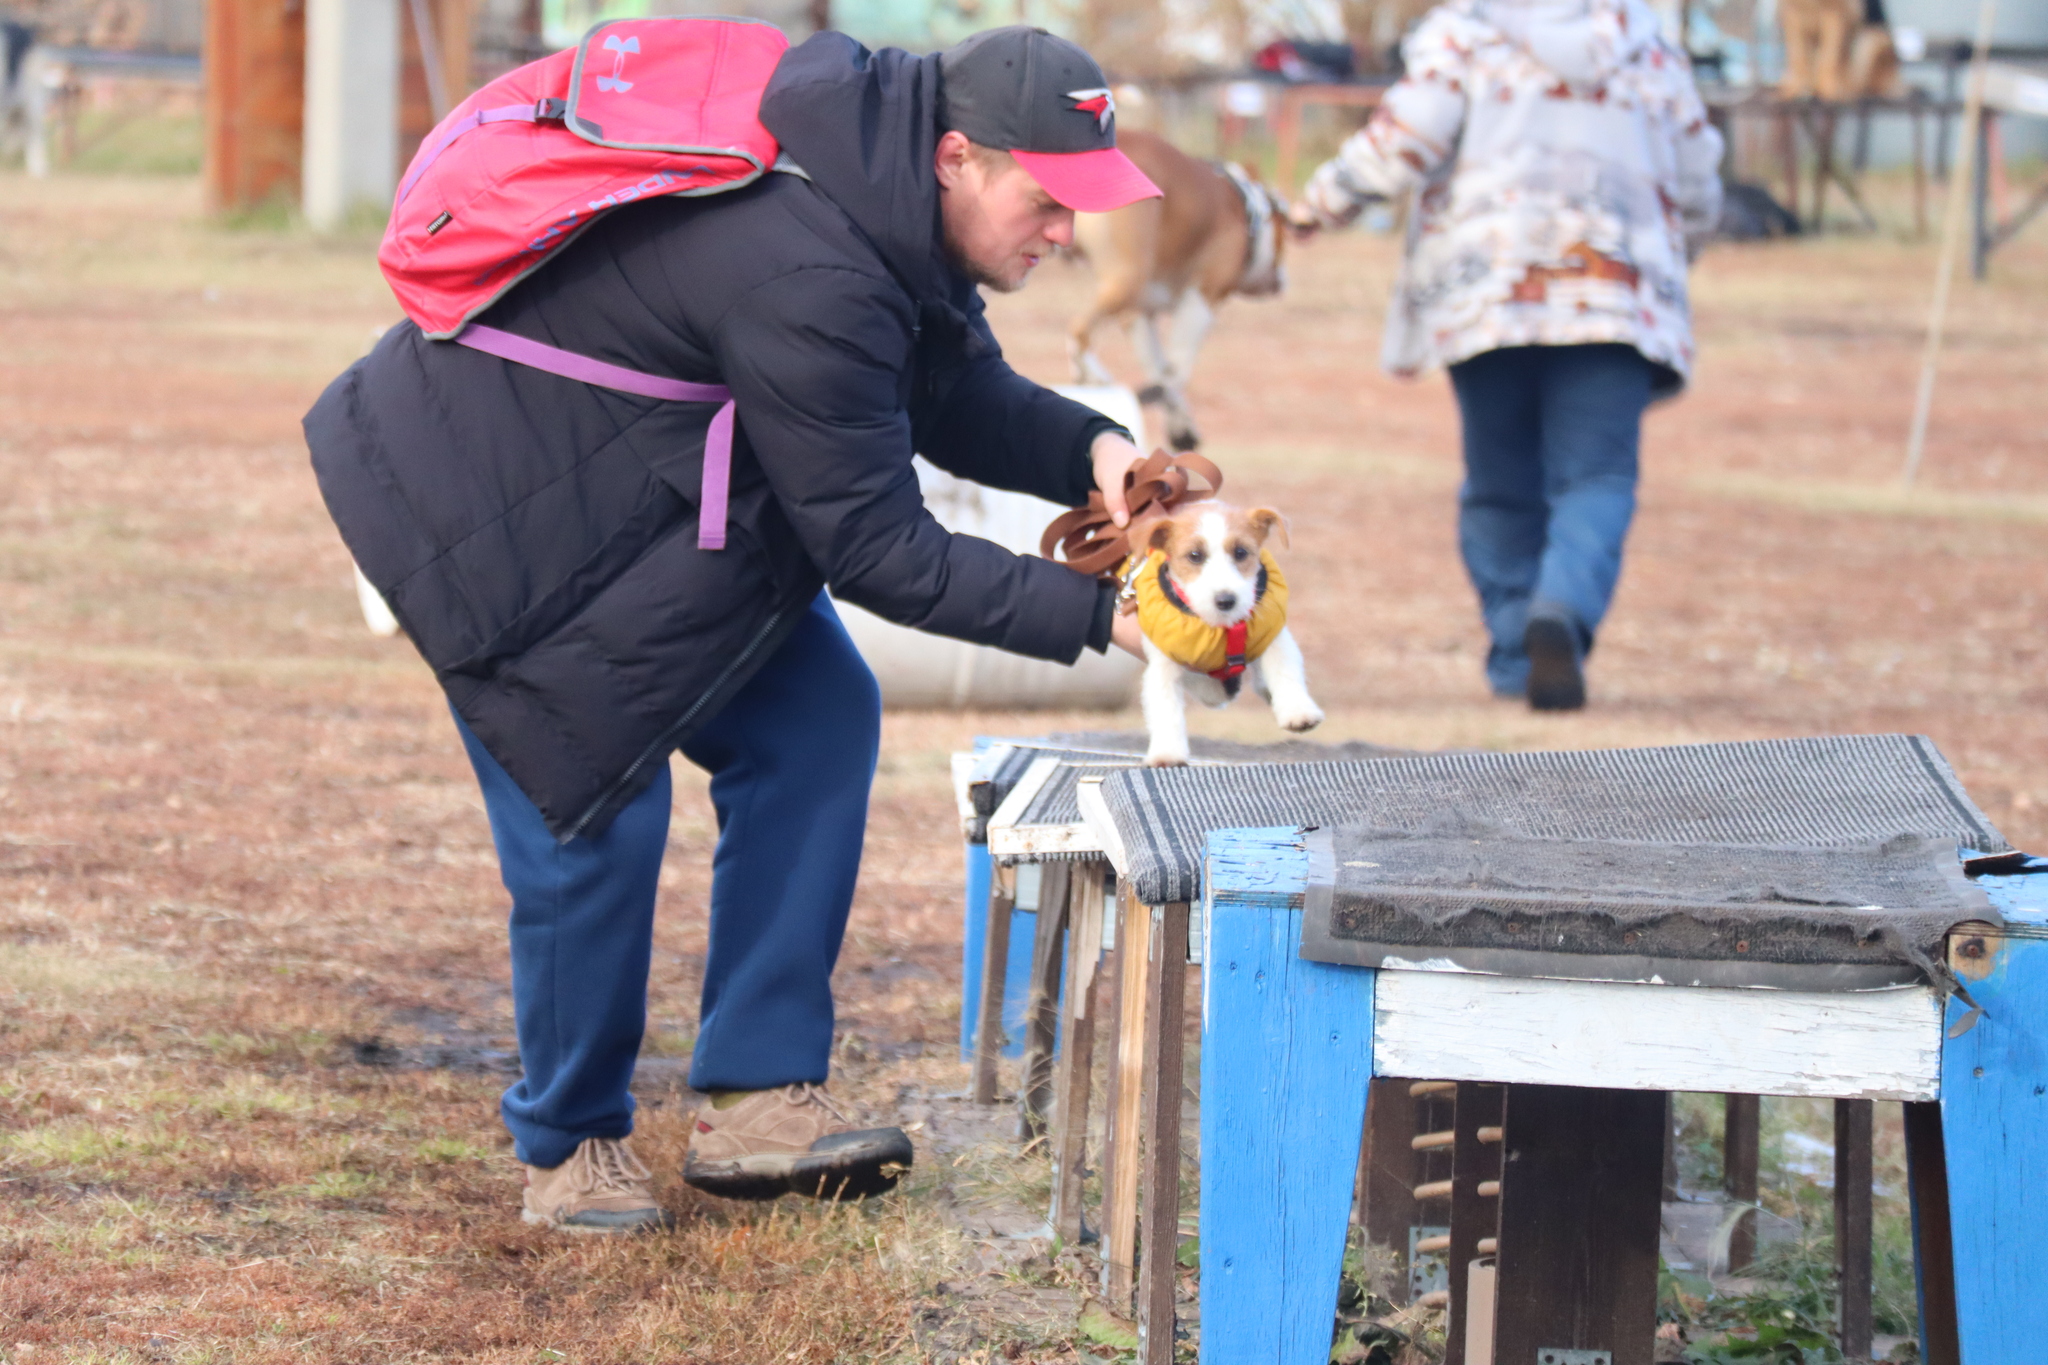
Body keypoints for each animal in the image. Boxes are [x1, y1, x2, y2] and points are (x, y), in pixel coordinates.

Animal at [1064, 127, 1286, 450]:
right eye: (1285, 230)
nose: (1282, 278)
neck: (1242, 206)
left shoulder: (1138, 315)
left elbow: (1160, 367)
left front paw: (1180, 424)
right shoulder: (1202, 300)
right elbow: (1178, 369)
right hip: (1127, 279)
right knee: (1078, 331)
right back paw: (1094, 377)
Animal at [1122, 499, 1327, 769]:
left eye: (1240, 552)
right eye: (1195, 556)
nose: (1226, 600)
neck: (1223, 627)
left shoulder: (1274, 636)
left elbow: (1285, 672)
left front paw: (1298, 711)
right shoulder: (1163, 666)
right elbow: (1166, 708)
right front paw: (1167, 753)